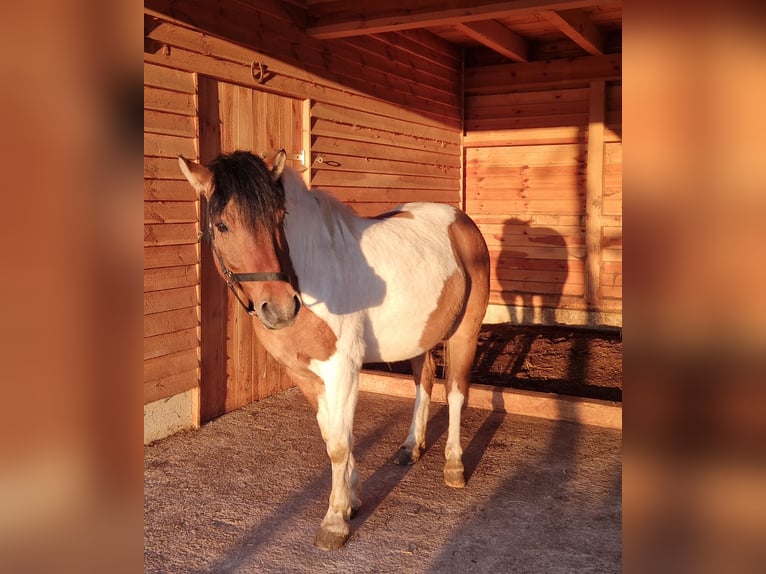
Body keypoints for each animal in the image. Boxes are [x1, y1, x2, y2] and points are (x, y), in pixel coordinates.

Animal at [178, 150, 490, 550]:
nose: (281, 308)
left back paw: (454, 466)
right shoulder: (304, 373)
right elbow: (331, 435)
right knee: (425, 381)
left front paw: (335, 522)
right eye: (222, 226)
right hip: (420, 335)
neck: (310, 269)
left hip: (465, 333)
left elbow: (340, 443)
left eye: (279, 218)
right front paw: (351, 501)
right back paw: (411, 448)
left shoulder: (342, 369)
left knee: (455, 392)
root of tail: (461, 221)